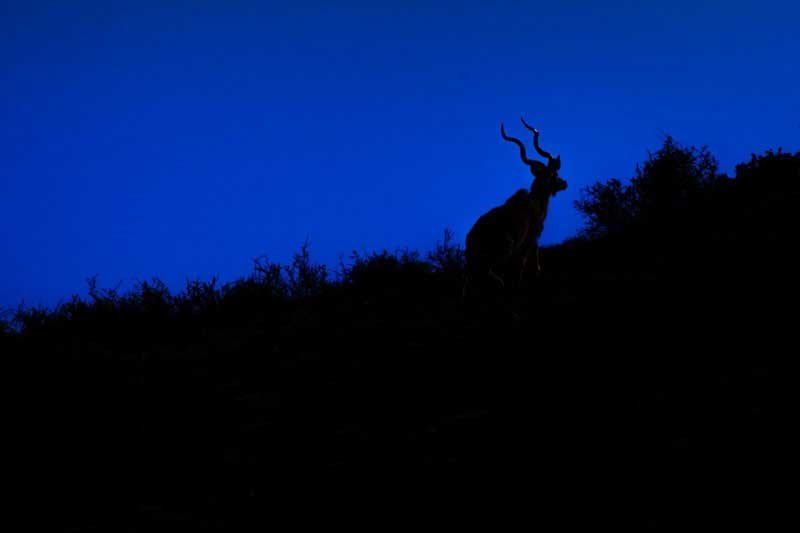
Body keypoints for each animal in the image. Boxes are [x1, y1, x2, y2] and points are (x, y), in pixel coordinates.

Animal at [465, 117, 567, 290]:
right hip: (501, 252)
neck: (534, 202)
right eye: (554, 174)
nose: (565, 183)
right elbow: (525, 263)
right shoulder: (530, 239)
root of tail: (471, 239)